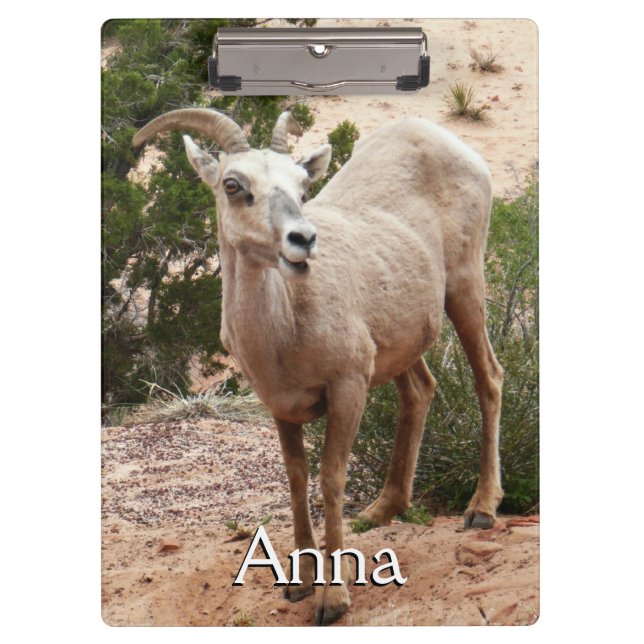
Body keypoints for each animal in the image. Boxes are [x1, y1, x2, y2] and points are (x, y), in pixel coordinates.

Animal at [132, 108, 504, 625]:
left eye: (302, 187)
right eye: (233, 184)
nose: (303, 240)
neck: (284, 330)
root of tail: (438, 136)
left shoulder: (348, 388)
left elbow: (330, 478)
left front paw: (333, 599)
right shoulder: (280, 407)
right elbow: (296, 478)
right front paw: (299, 585)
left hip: (465, 289)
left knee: (488, 378)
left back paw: (481, 509)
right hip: (402, 340)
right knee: (421, 390)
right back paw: (380, 511)